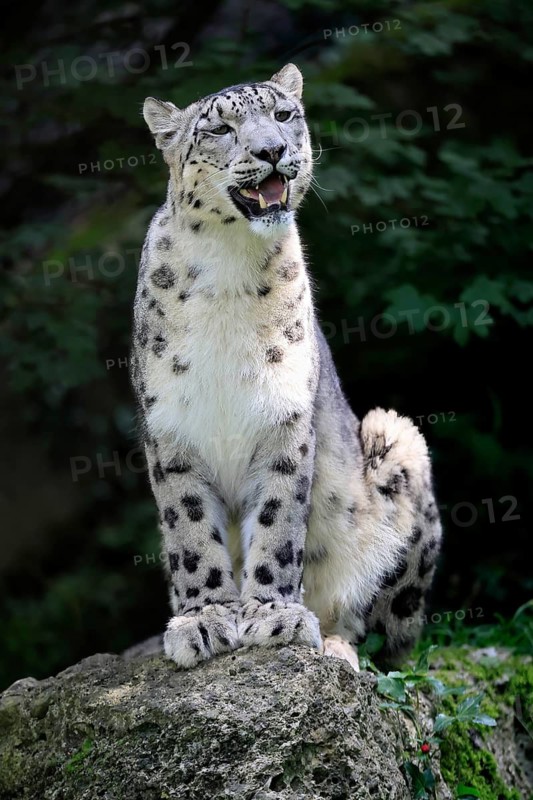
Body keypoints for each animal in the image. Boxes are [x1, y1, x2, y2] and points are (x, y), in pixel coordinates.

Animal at [129, 63, 442, 671]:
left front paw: (273, 615)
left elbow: (278, 522)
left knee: (389, 639)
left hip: (398, 442)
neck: (229, 265)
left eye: (282, 115)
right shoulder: (171, 429)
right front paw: (205, 619)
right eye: (219, 129)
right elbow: (190, 531)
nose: (272, 150)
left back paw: (338, 646)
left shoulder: (284, 417)